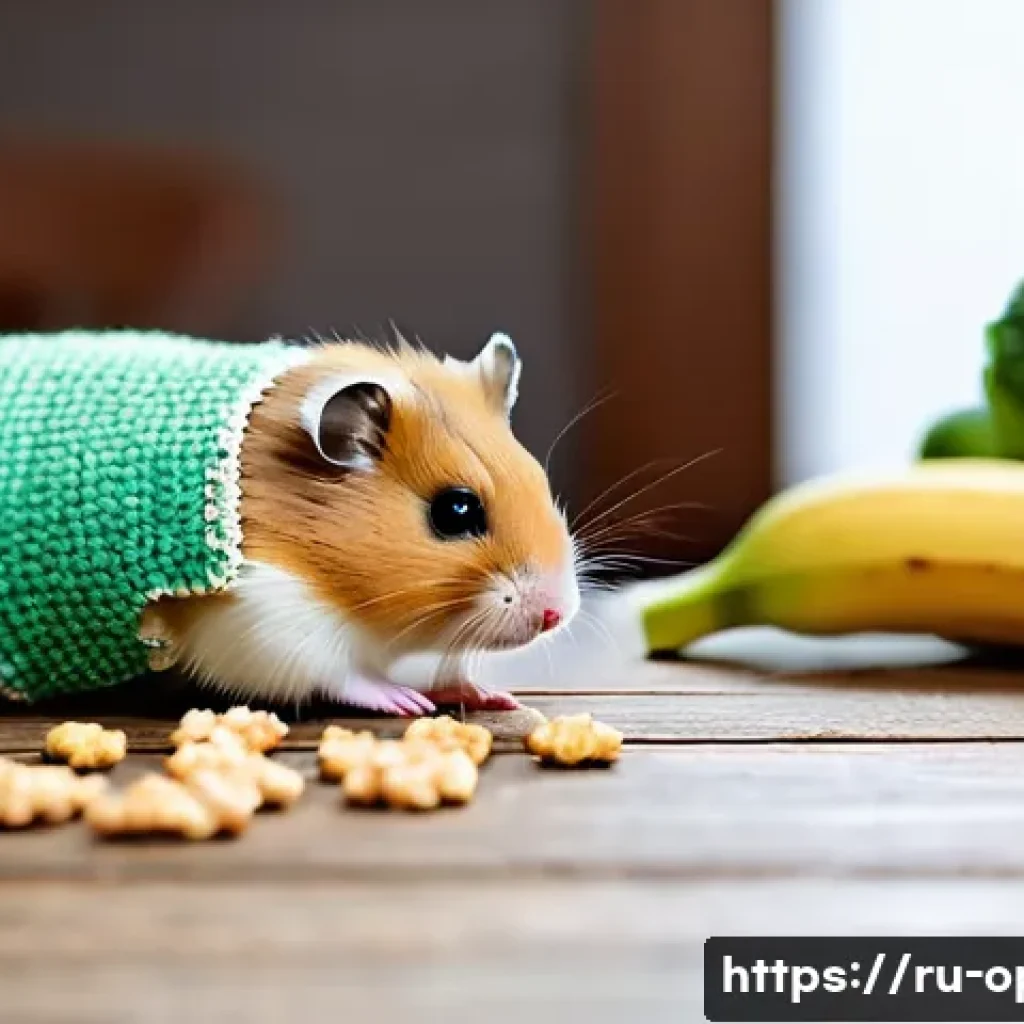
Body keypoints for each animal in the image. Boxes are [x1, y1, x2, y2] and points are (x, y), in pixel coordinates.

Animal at [145, 333, 581, 715]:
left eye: (539, 480)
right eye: (456, 510)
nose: (556, 615)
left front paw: (494, 696)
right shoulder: (262, 621)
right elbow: (342, 676)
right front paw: (405, 702)